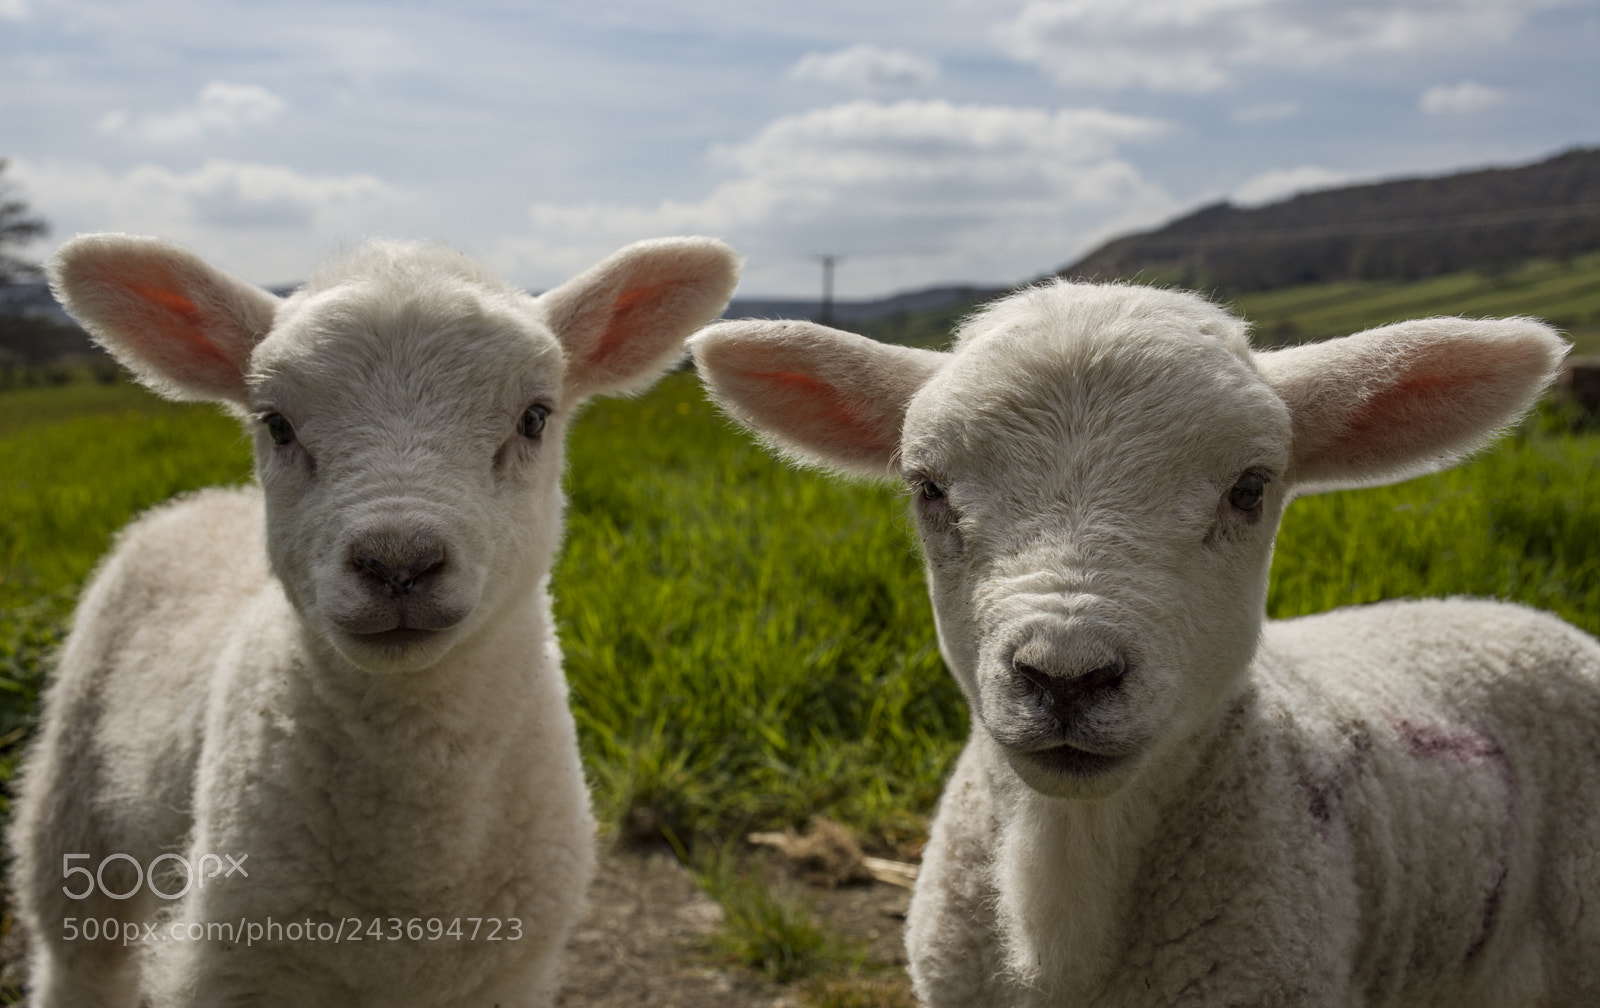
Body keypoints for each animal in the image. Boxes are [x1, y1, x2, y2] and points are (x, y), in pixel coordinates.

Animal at [10, 232, 741, 1008]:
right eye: (276, 424)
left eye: (535, 417)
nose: (398, 562)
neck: (412, 871)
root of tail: (199, 500)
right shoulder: (235, 967)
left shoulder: (510, 971)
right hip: (72, 814)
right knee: (78, 958)